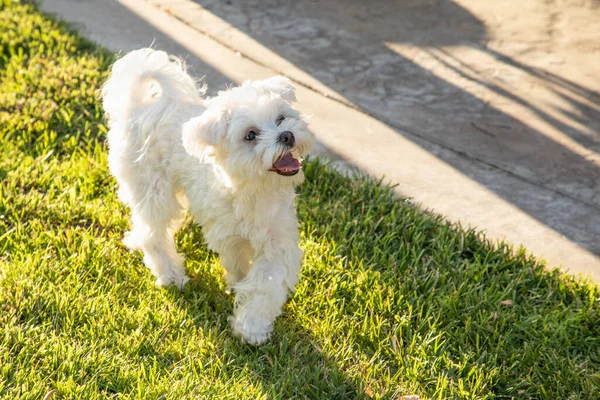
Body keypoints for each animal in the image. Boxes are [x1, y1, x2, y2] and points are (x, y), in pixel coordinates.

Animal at [101, 49, 316, 344]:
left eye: (281, 118)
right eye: (251, 135)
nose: (287, 135)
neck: (254, 190)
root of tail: (140, 106)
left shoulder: (277, 240)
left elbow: (264, 283)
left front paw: (252, 321)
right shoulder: (230, 235)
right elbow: (245, 270)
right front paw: (250, 325)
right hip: (154, 188)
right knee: (153, 234)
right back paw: (171, 274)